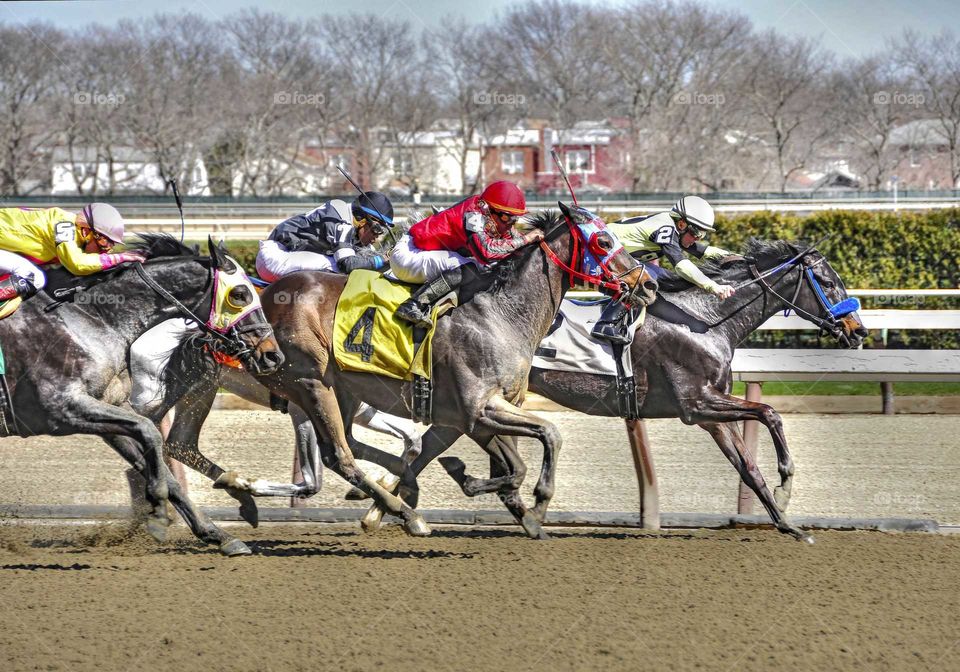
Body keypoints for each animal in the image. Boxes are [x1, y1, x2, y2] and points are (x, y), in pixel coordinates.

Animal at [0, 236, 282, 556]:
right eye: (240, 294)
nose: (272, 355)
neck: (92, 321)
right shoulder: (62, 409)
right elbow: (150, 431)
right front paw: (157, 510)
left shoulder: (107, 407)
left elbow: (159, 461)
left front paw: (218, 534)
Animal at [253, 202, 660, 540]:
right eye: (604, 241)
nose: (649, 284)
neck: (500, 314)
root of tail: (265, 298)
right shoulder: (477, 409)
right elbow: (546, 438)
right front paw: (527, 499)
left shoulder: (472, 414)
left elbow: (511, 462)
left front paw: (519, 511)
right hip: (310, 381)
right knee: (339, 454)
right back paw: (408, 513)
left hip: (344, 389)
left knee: (351, 444)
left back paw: (396, 493)